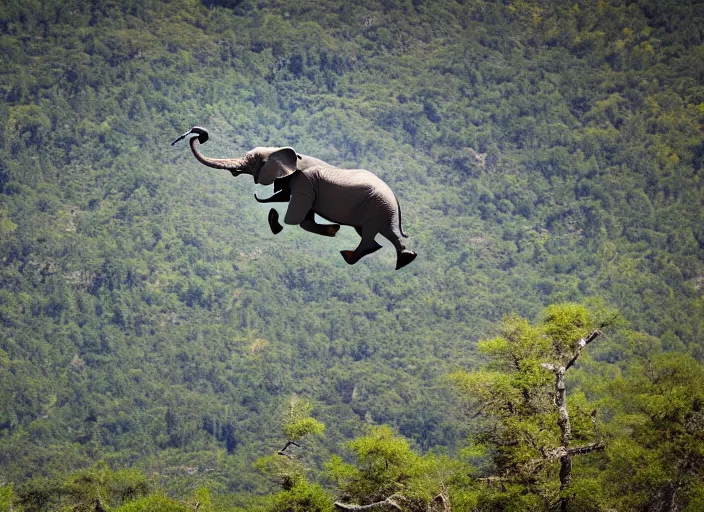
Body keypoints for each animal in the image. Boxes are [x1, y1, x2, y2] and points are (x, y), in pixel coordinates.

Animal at [170, 127, 416, 270]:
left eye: (253, 162)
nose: (198, 135)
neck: (283, 152)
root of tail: (395, 200)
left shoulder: (304, 185)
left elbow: (296, 219)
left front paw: (274, 217)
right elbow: (301, 215)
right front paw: (333, 229)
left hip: (376, 207)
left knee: (370, 234)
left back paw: (348, 256)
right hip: (380, 209)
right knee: (386, 233)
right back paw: (406, 258)